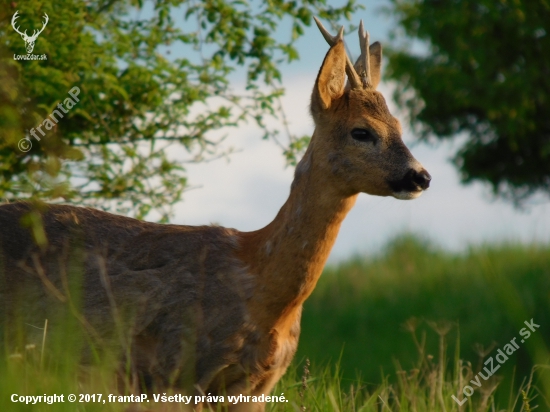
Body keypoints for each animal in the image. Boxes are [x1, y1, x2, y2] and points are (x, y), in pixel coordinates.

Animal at [0, 16, 432, 412]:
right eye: (362, 131)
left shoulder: (256, 386)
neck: (262, 288)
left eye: (399, 124)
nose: (421, 176)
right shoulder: (176, 370)